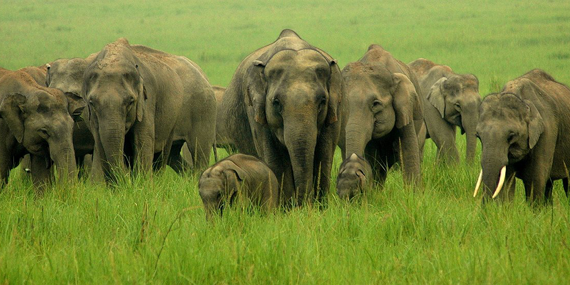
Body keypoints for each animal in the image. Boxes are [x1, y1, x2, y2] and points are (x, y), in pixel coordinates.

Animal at [83, 37, 216, 181]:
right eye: (92, 102)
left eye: (131, 101)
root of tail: (203, 74)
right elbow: (100, 144)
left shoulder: (147, 100)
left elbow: (142, 141)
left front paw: (142, 183)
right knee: (173, 155)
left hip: (202, 109)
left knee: (197, 151)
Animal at [222, 29, 346, 204]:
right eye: (276, 102)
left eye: (323, 101)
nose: (304, 205)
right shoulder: (256, 114)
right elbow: (276, 159)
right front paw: (287, 206)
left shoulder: (335, 111)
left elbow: (324, 153)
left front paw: (320, 206)